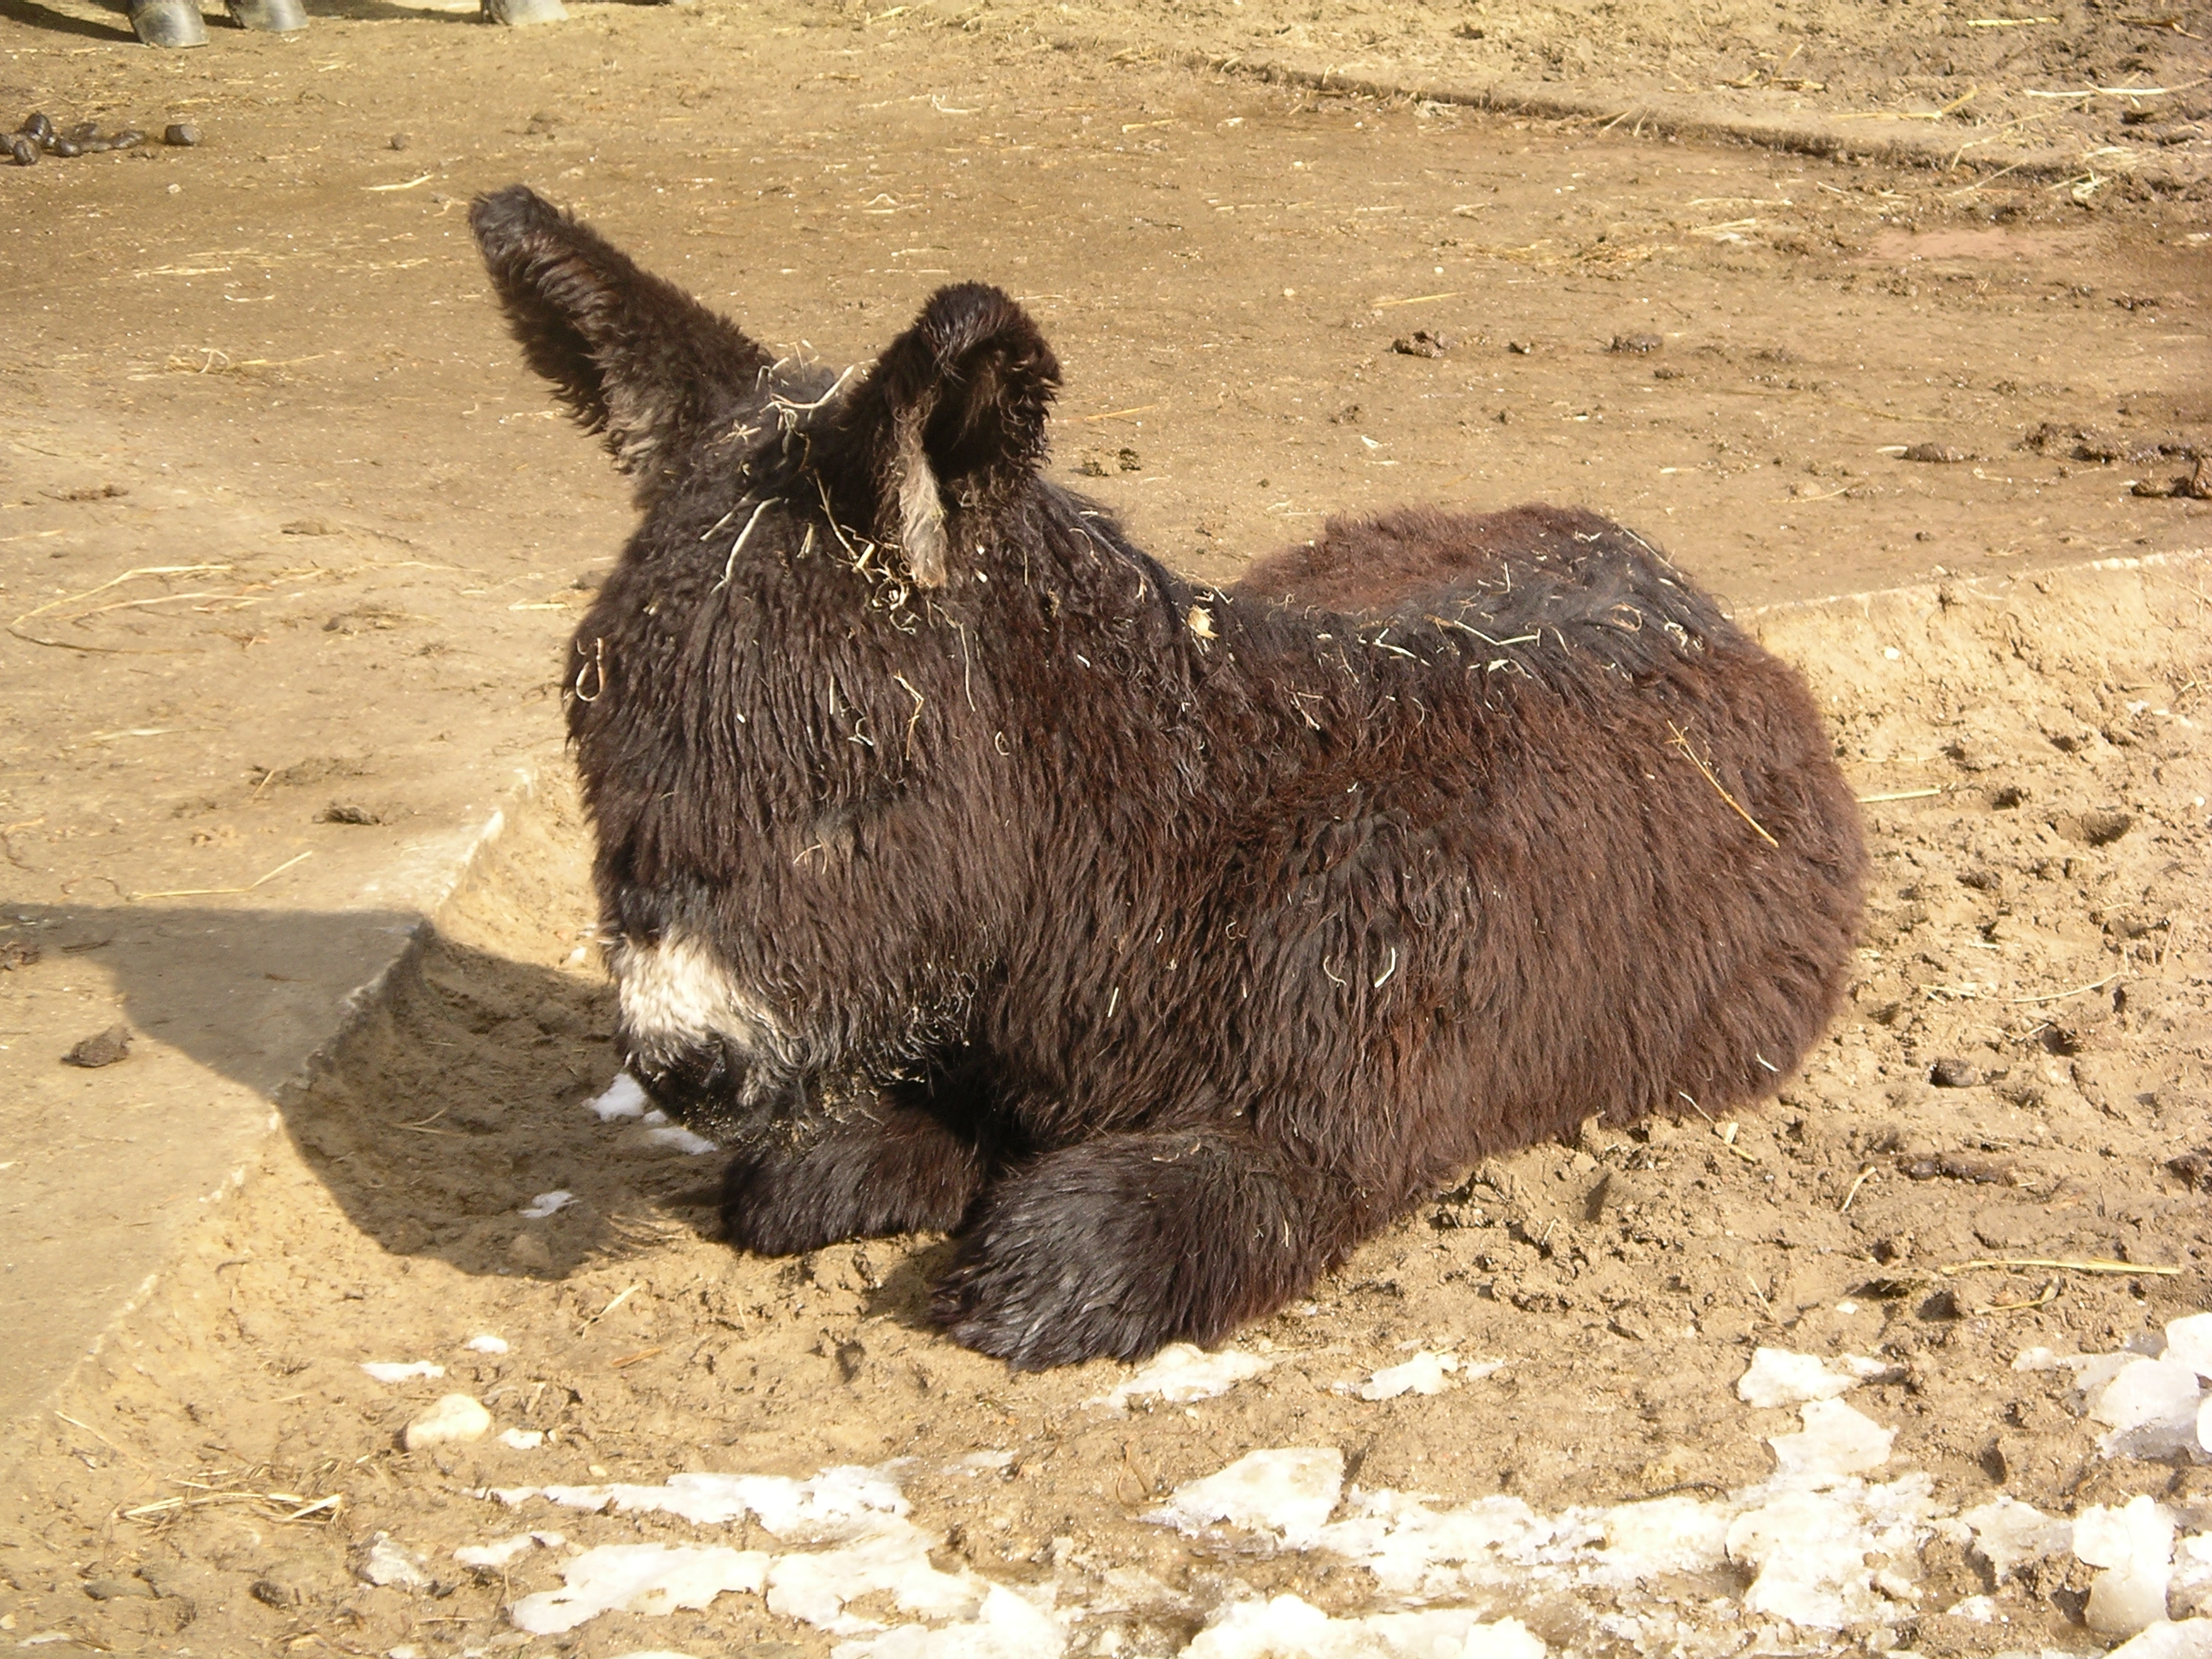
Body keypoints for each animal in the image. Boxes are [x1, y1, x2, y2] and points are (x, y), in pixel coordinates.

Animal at [470, 183, 1867, 1370]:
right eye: (597, 750)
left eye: (857, 782)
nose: (678, 1061)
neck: (1173, 856)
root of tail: (1614, 535)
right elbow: (813, 1165)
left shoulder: (1321, 1137)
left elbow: (1066, 1249)